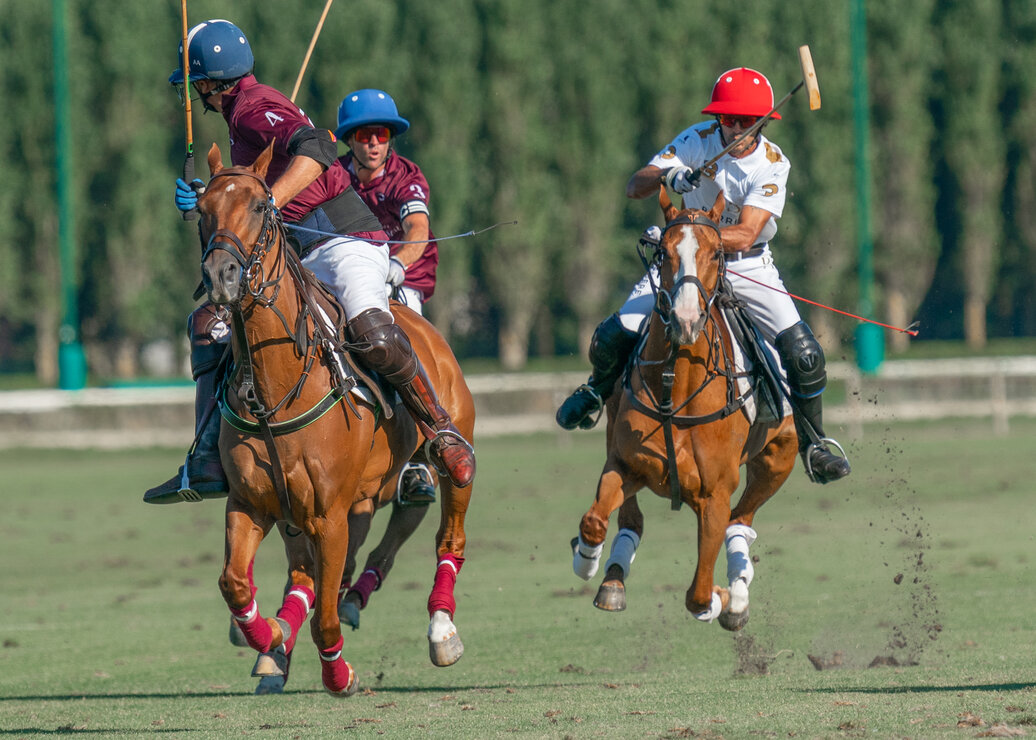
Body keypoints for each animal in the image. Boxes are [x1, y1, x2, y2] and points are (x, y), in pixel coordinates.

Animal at [196, 140, 474, 696]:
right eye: (201, 210)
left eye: (258, 206)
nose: (220, 277)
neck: (276, 388)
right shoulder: (252, 504)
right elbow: (235, 584)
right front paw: (269, 638)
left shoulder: (328, 516)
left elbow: (323, 614)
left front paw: (338, 672)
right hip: (347, 501)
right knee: (314, 574)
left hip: (445, 451)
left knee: (448, 533)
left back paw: (442, 631)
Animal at [571, 188, 795, 630]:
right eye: (664, 252)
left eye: (716, 252)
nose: (686, 320)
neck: (677, 388)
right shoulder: (625, 464)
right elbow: (593, 520)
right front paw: (585, 561)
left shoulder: (714, 496)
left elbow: (698, 594)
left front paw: (724, 600)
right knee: (630, 519)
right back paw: (612, 581)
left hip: (779, 458)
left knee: (740, 522)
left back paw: (738, 592)